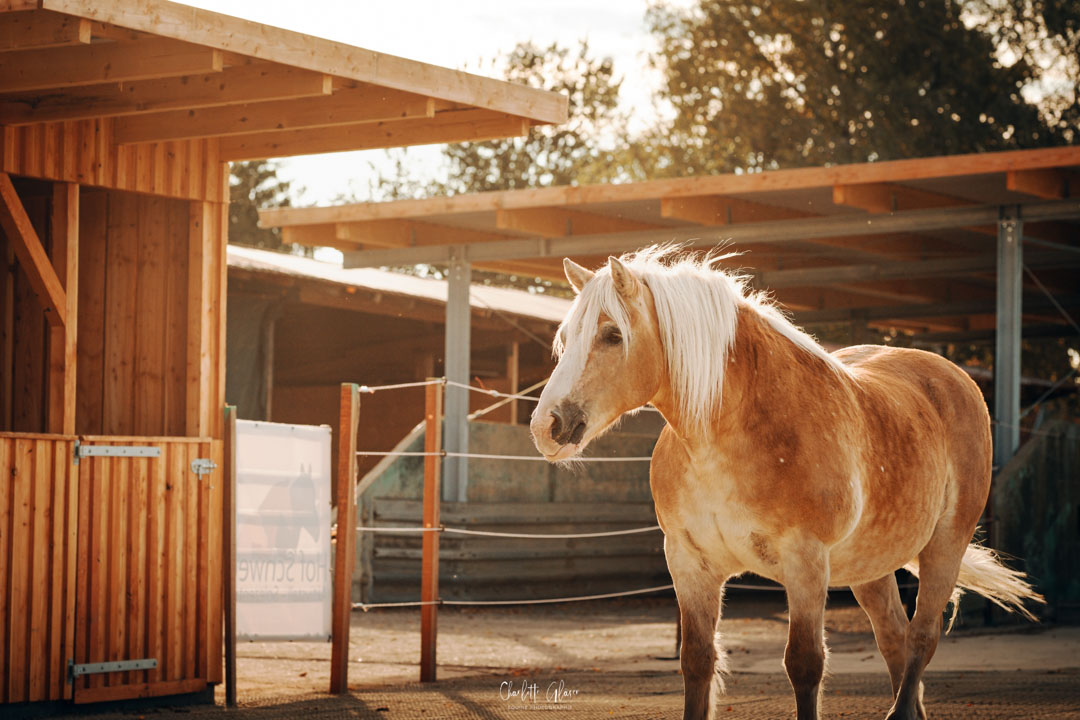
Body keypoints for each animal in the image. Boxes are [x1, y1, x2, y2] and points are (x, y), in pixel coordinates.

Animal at [527, 249, 1041, 720]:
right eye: (566, 337)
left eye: (612, 335)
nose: (547, 426)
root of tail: (955, 378)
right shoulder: (690, 562)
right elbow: (697, 662)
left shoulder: (805, 563)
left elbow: (805, 665)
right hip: (869, 568)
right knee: (895, 641)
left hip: (944, 548)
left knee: (921, 639)